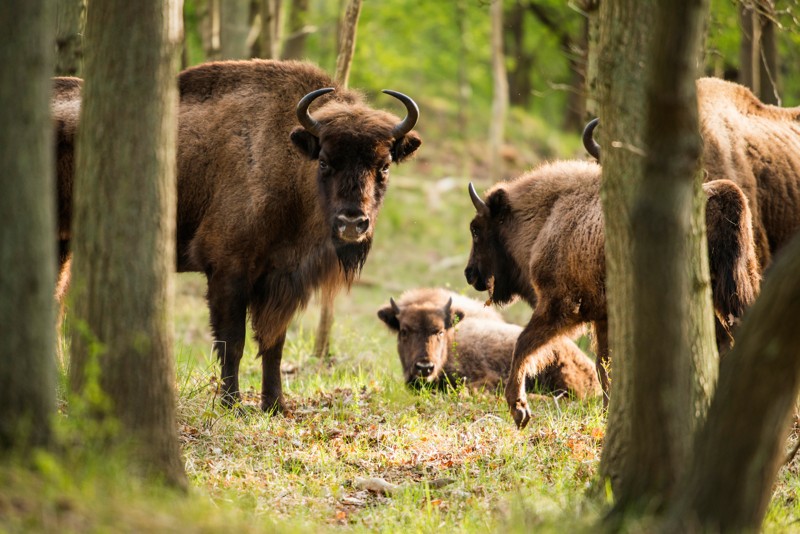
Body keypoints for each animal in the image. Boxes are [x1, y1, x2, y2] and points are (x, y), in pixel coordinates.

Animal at [52, 61, 422, 414]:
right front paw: (232, 405)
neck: (288, 161)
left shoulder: (280, 280)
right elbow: (233, 342)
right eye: (325, 161)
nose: (352, 222)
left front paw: (275, 405)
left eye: (384, 165)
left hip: (63, 245)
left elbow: (273, 344)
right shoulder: (228, 272)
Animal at [462, 161, 756, 430]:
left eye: (477, 229)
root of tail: (724, 196)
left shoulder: (560, 307)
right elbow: (605, 365)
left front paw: (519, 410)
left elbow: (524, 343)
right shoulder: (602, 317)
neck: (548, 216)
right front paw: (606, 414)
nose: (470, 274)